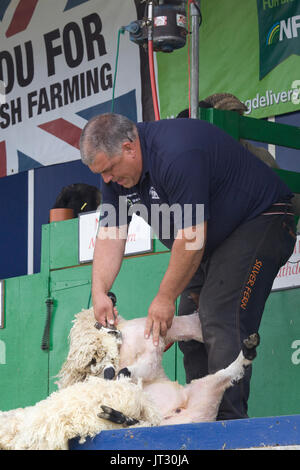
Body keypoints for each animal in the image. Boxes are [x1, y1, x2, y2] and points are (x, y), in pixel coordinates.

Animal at [0, 306, 258, 450]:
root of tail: (178, 418)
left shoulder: (150, 352)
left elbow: (133, 367)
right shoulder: (148, 354)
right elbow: (129, 369)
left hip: (203, 392)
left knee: (230, 373)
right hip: (198, 394)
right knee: (230, 374)